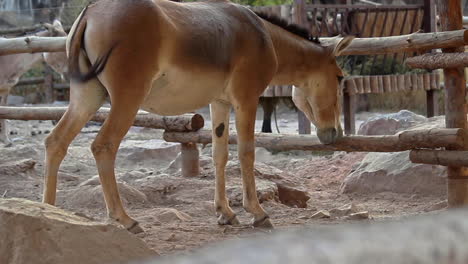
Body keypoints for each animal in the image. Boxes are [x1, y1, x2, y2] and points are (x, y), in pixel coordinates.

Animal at [43, 0, 352, 233]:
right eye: (340, 78)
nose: (334, 134)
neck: (266, 38)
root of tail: (91, 11)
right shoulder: (247, 99)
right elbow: (246, 153)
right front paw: (257, 212)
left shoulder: (219, 102)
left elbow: (219, 155)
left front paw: (225, 213)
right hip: (126, 99)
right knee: (103, 146)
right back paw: (126, 220)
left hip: (87, 95)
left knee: (55, 141)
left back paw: (48, 211)